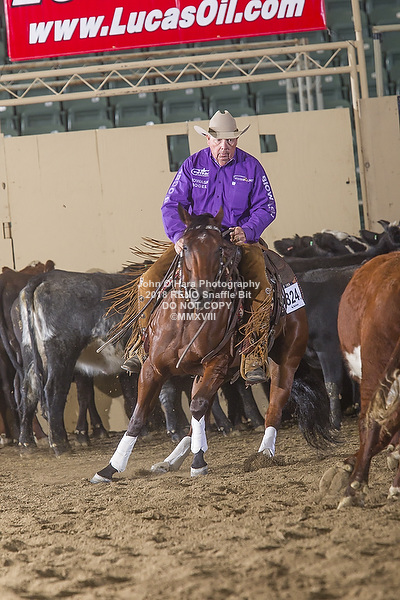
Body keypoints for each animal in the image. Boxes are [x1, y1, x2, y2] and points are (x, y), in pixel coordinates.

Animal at [91, 206, 333, 483]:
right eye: (185, 246)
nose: (201, 292)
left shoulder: (216, 365)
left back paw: (263, 455)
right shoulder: (153, 368)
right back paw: (170, 461)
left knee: (274, 406)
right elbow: (139, 416)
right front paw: (110, 468)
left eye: (219, 249)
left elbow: (196, 407)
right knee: (200, 413)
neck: (187, 320)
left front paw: (199, 462)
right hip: (206, 374)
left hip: (286, 361)